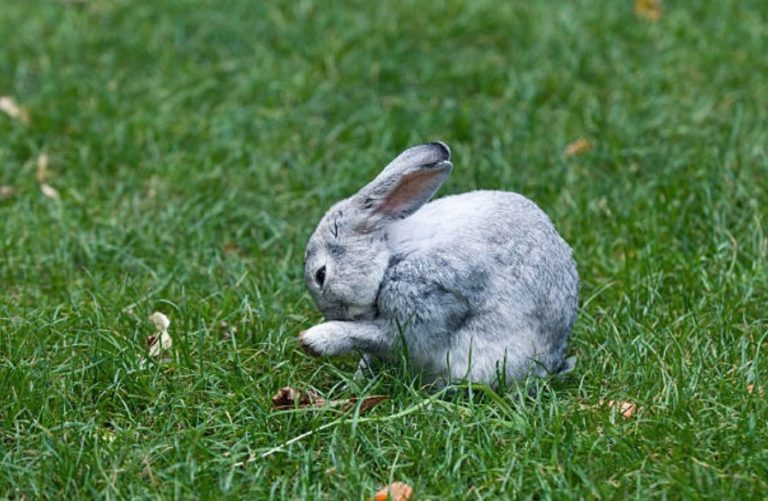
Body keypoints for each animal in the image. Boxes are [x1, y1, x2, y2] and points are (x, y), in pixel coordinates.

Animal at [299, 141, 578, 387]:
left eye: (321, 275)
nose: (339, 315)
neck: (389, 258)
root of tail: (553, 361)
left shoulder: (420, 308)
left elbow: (377, 337)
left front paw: (314, 339)